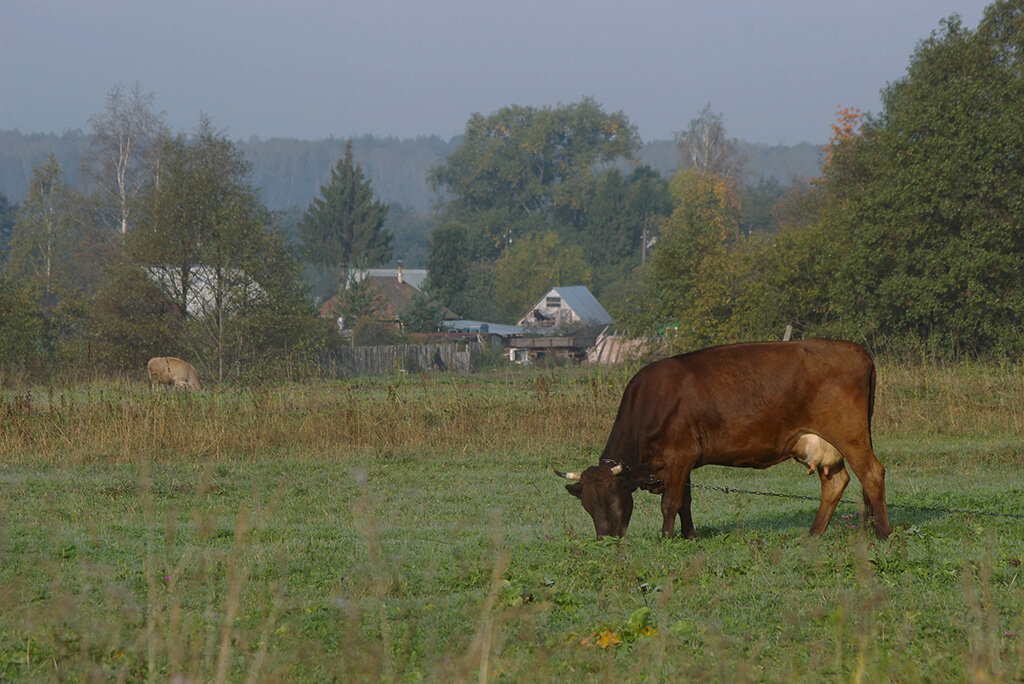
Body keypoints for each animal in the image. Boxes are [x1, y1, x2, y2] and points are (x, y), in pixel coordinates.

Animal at [557, 339, 892, 540]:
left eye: (614, 498)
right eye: (587, 506)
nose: (605, 539)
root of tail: (856, 349)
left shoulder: (680, 455)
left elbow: (670, 503)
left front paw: (666, 538)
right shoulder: (682, 462)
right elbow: (685, 501)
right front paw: (689, 536)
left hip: (851, 434)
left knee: (872, 475)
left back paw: (883, 533)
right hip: (823, 444)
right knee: (835, 483)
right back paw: (813, 534)